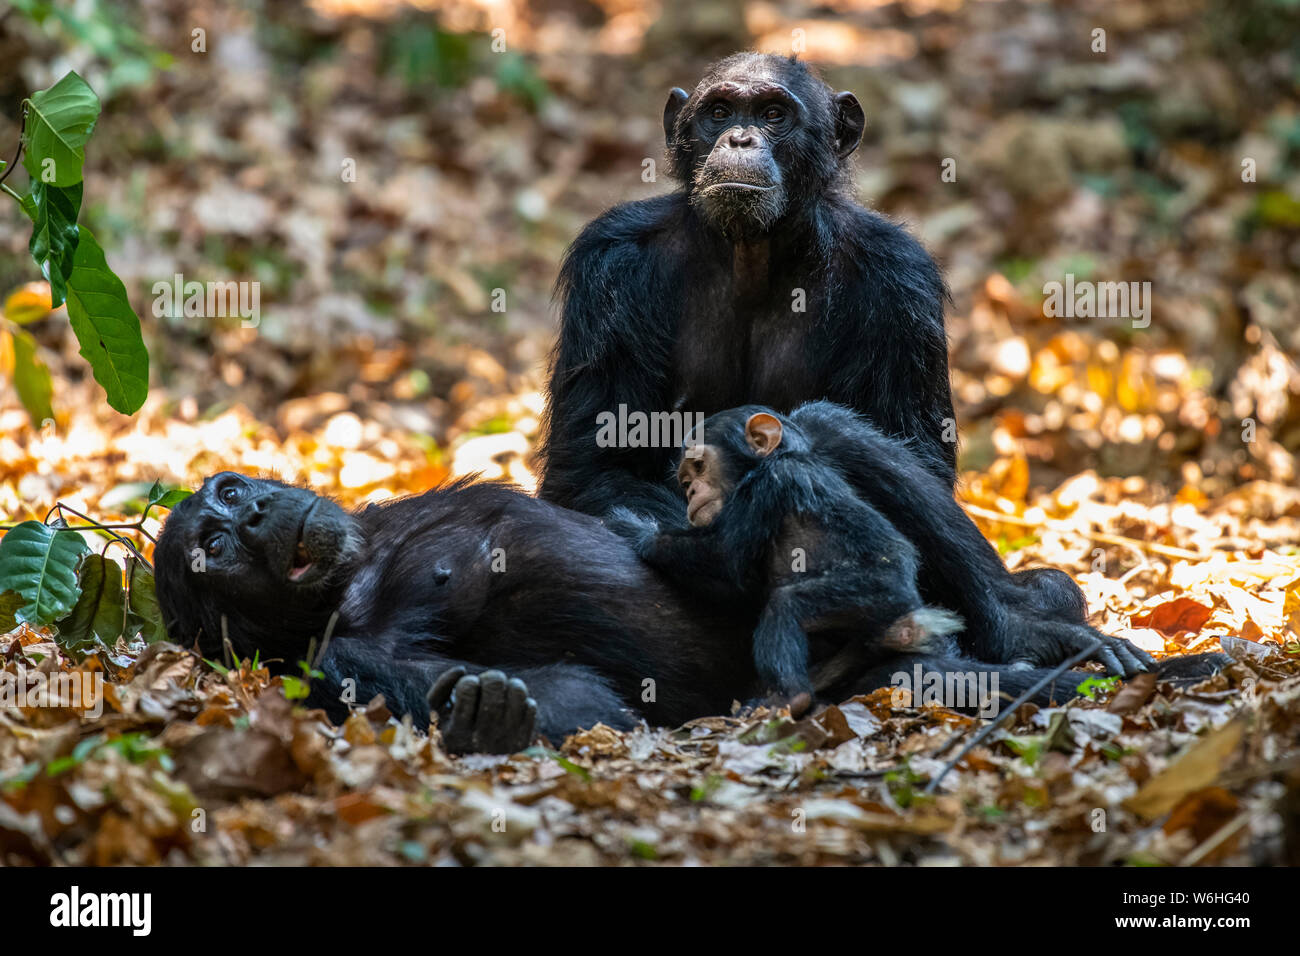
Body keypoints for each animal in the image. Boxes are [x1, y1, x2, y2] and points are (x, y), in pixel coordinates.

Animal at [157, 468, 1222, 749]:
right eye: (213, 552)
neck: (360, 572)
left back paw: (1060, 626)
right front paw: (486, 715)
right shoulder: (343, 660)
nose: (249, 514)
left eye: (228, 494)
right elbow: (589, 702)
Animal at [533, 50, 1092, 634]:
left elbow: (913, 450)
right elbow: (597, 465)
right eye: (719, 111)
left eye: (773, 114)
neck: (753, 250)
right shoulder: (610, 262)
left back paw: (1023, 618)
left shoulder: (900, 277)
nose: (739, 139)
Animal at [603, 405, 961, 702]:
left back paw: (789, 697)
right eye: (685, 479)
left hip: (875, 592)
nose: (691, 490)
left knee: (785, 607)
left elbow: (724, 557)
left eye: (699, 466)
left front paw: (636, 528)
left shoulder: (768, 484)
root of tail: (909, 623)